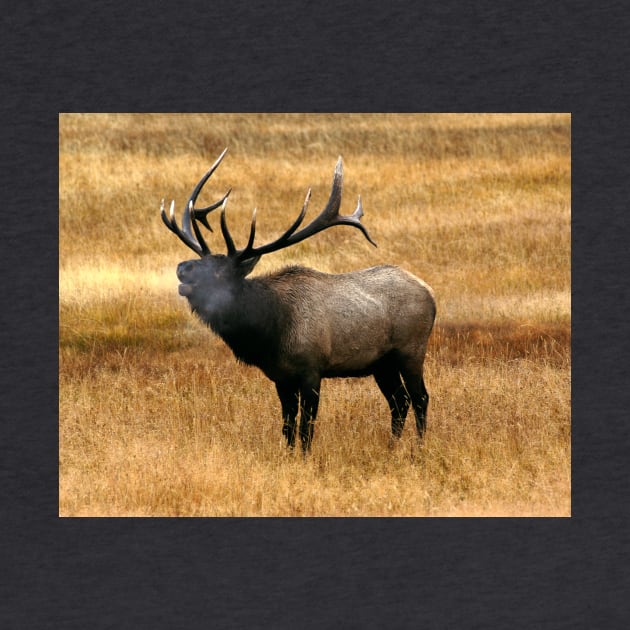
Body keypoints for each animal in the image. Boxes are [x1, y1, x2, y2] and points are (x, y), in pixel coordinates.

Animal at [160, 150, 436, 452]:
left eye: (221, 270)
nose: (182, 267)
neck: (269, 333)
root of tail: (430, 293)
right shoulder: (281, 377)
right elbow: (288, 427)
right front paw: (289, 456)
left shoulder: (311, 370)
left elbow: (306, 428)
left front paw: (305, 457)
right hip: (381, 363)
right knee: (399, 401)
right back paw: (391, 447)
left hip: (411, 349)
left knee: (420, 397)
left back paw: (419, 448)